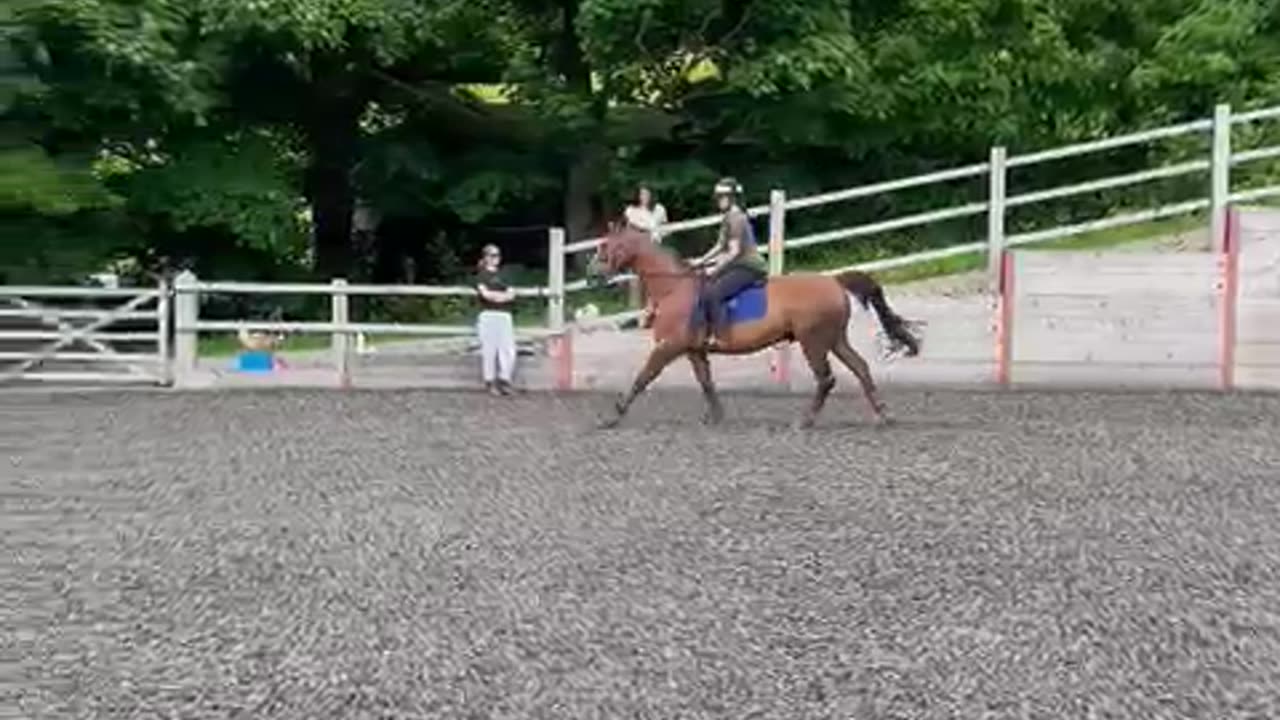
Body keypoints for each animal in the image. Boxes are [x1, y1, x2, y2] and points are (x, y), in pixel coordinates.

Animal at [588, 224, 921, 425]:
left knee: (826, 379)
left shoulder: (669, 346)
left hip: (813, 342)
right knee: (860, 368)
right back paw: (884, 415)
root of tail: (834, 281)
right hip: (834, 339)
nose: (591, 277)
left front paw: (614, 415)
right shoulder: (694, 350)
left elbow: (643, 377)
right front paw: (716, 416)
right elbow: (706, 382)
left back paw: (805, 420)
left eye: (607, 246)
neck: (674, 288)